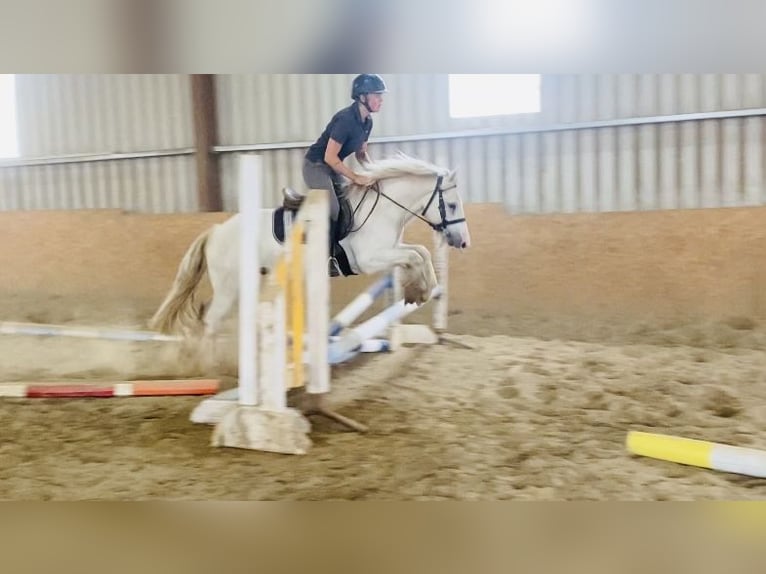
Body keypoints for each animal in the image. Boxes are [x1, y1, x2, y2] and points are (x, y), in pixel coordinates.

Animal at [149, 153, 472, 342]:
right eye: (452, 205)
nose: (463, 242)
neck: (384, 209)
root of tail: (216, 232)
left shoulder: (390, 249)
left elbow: (420, 253)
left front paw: (420, 290)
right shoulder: (369, 259)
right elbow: (415, 255)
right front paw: (421, 289)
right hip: (230, 288)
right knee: (212, 320)